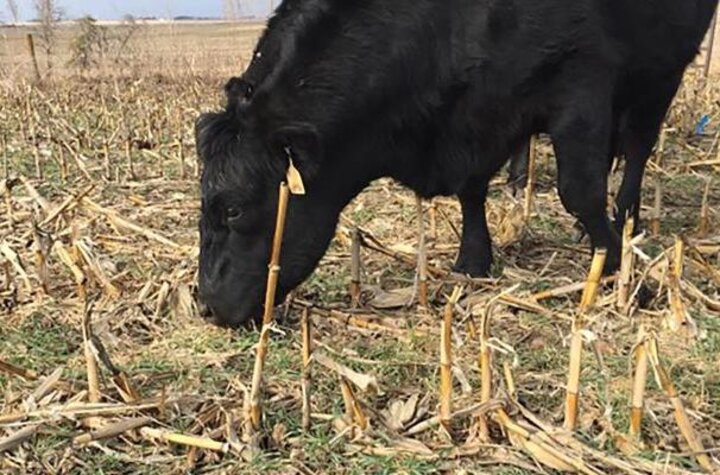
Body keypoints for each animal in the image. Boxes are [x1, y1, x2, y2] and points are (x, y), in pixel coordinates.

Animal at [194, 0, 716, 328]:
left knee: (637, 147)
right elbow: (471, 191)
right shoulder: (476, 117)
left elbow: (579, 191)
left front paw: (618, 270)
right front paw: (473, 260)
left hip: (660, 72)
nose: (206, 305)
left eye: (235, 209)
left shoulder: (580, 80)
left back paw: (626, 215)